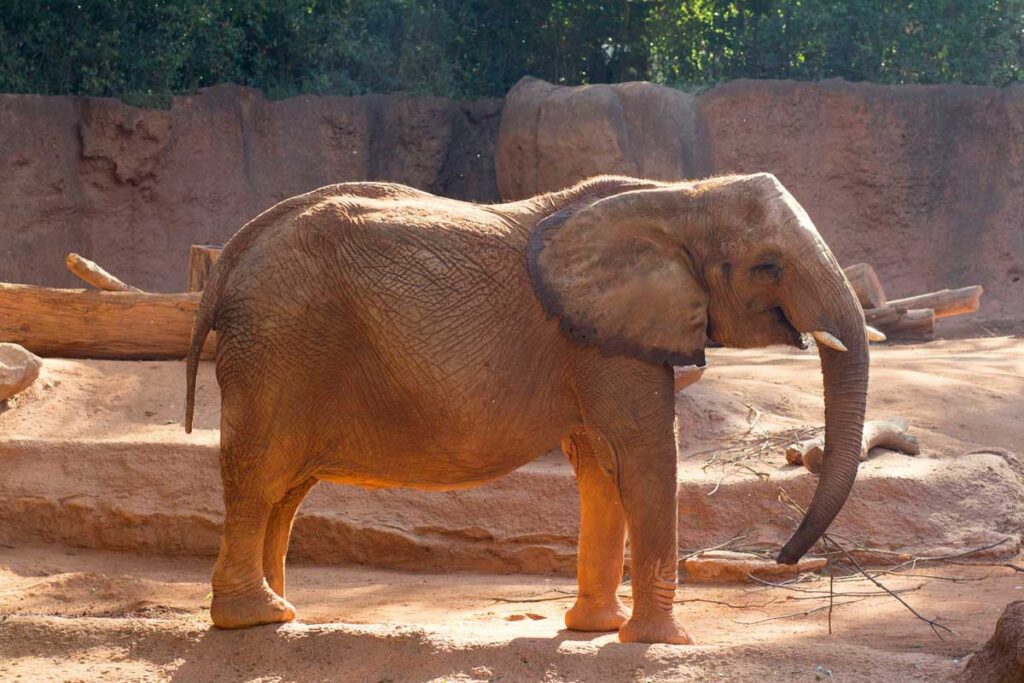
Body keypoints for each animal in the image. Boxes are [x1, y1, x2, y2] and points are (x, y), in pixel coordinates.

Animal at [184, 173, 871, 645]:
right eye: (766, 265)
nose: (783, 557)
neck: (679, 196)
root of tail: (229, 258)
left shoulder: (598, 334)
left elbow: (602, 467)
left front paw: (595, 629)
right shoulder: (605, 337)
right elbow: (642, 454)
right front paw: (662, 642)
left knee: (285, 490)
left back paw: (283, 613)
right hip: (277, 347)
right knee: (260, 478)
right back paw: (256, 619)